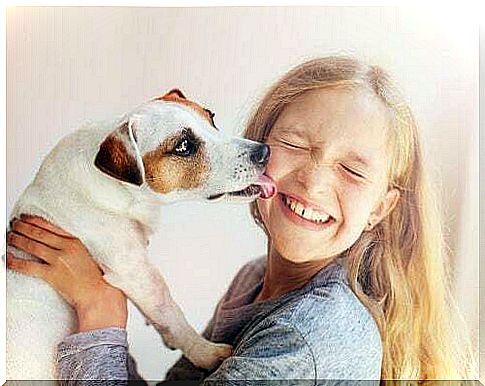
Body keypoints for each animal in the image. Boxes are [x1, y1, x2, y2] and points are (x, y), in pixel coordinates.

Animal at [6, 89, 276, 380]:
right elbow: (171, 314)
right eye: (184, 146)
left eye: (211, 118)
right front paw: (204, 352)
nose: (264, 151)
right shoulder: (138, 274)